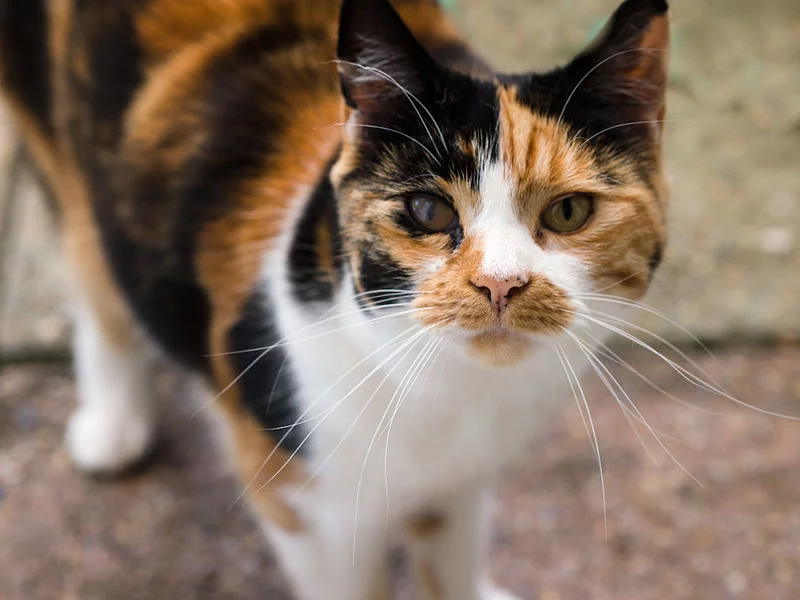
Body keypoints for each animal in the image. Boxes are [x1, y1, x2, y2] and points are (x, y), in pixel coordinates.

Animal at [0, 0, 668, 596]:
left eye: (570, 211)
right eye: (428, 210)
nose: (500, 282)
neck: (447, 390)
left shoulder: (460, 483)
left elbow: (450, 567)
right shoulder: (304, 507)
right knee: (94, 264)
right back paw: (113, 423)